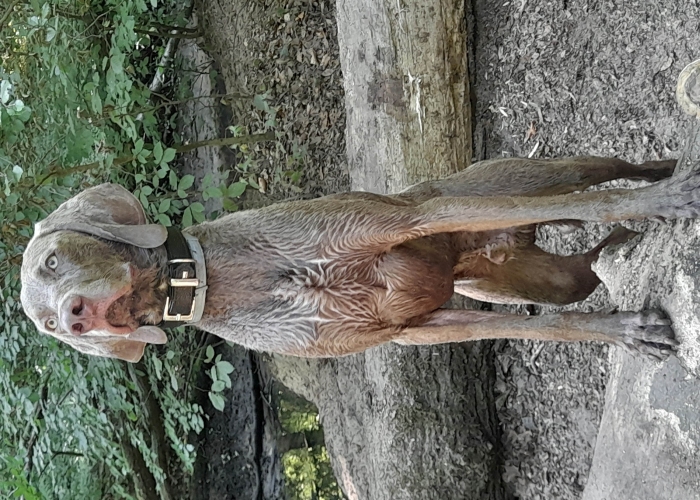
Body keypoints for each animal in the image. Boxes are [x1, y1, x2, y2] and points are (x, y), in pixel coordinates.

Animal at [19, 155, 692, 360]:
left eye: (52, 260)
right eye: (47, 326)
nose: (76, 318)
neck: (244, 279)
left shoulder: (410, 219)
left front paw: (666, 202)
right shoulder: (420, 328)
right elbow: (552, 332)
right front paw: (629, 333)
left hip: (539, 174)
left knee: (604, 176)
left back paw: (663, 180)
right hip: (532, 279)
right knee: (580, 266)